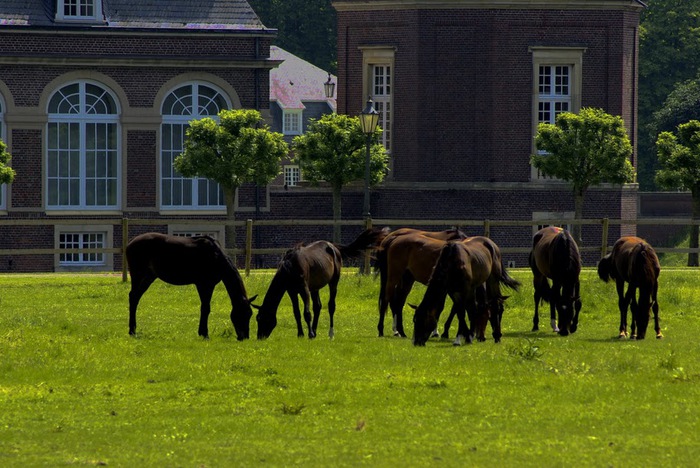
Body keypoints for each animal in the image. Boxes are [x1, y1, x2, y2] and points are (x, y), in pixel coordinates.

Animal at [126, 233, 258, 340]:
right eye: (241, 314)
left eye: (250, 314)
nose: (244, 337)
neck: (215, 256)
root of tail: (131, 242)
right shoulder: (204, 284)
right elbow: (205, 308)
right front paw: (204, 334)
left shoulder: (209, 285)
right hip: (138, 275)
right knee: (133, 297)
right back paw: (132, 331)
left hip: (149, 277)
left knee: (136, 297)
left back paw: (133, 329)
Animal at [256, 228, 388, 340]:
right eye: (257, 318)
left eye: (263, 318)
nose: (260, 337)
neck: (290, 267)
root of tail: (333, 247)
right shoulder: (292, 291)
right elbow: (297, 313)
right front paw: (301, 334)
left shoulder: (304, 289)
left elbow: (307, 313)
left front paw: (309, 334)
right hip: (315, 288)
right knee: (317, 306)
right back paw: (315, 331)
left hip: (333, 282)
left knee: (331, 306)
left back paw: (330, 333)